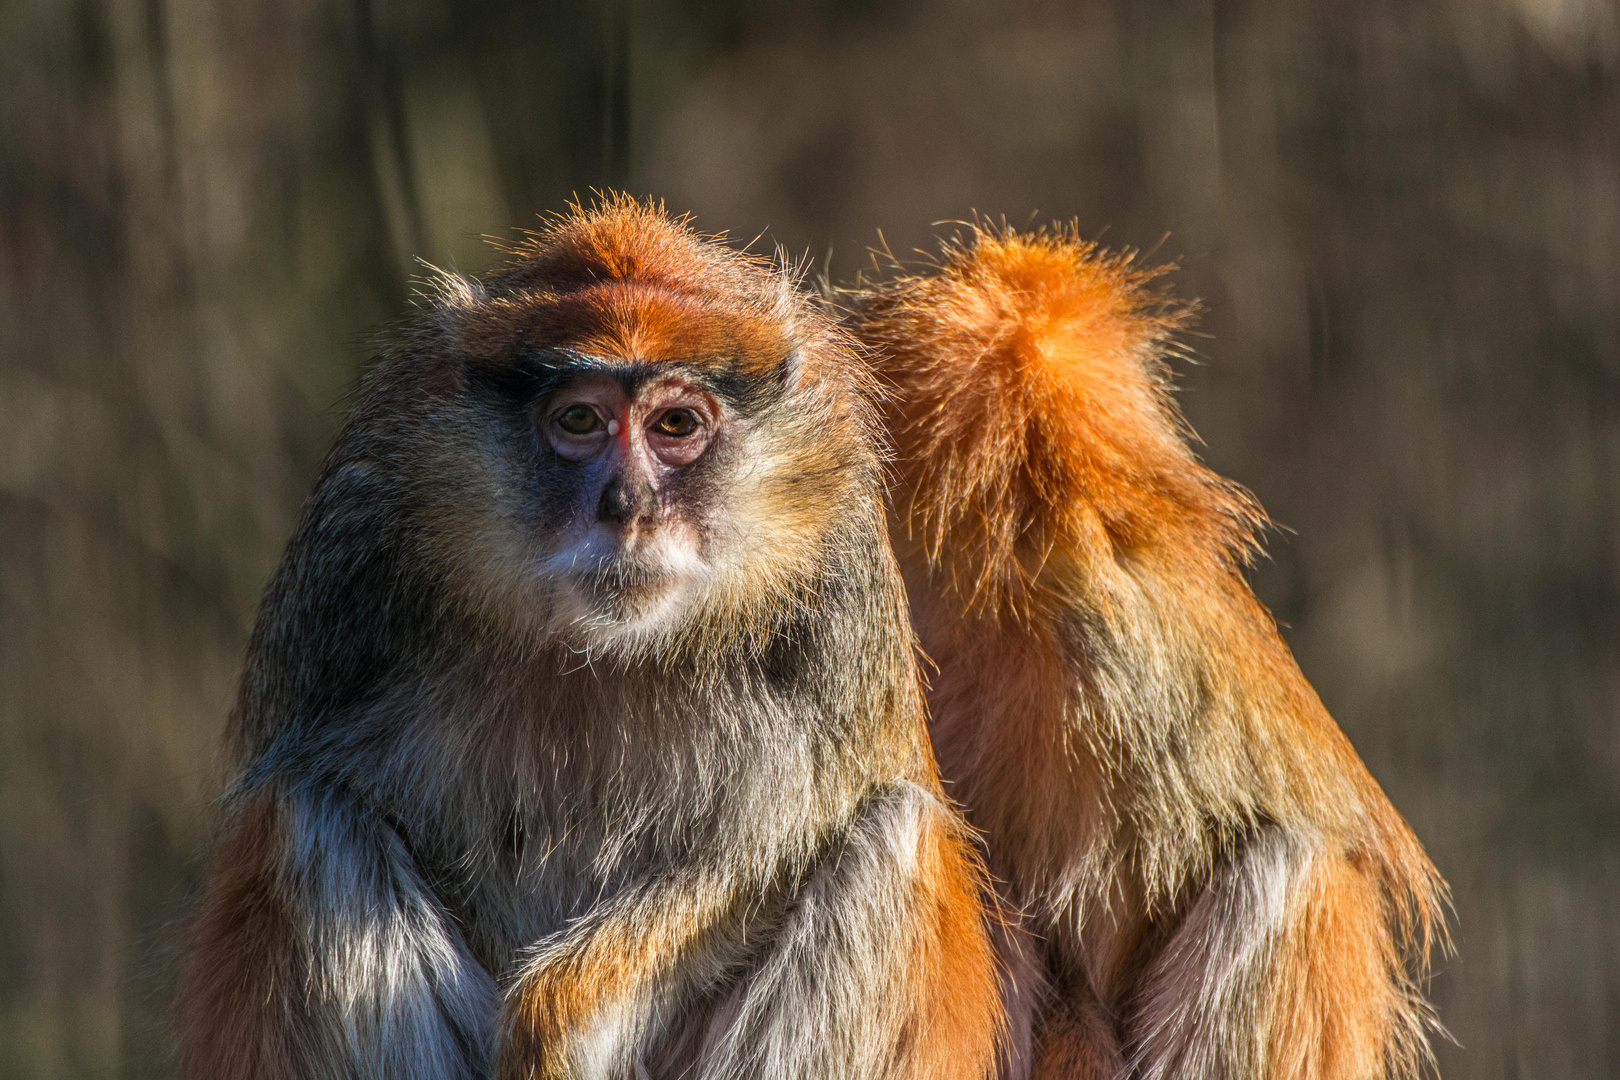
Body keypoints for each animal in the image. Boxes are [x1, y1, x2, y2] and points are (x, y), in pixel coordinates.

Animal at [183, 196, 1004, 1080]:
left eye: (675, 424)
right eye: (579, 420)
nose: (627, 507)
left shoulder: (835, 590)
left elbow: (770, 845)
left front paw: (555, 1012)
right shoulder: (347, 562)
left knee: (889, 841)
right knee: (307, 811)